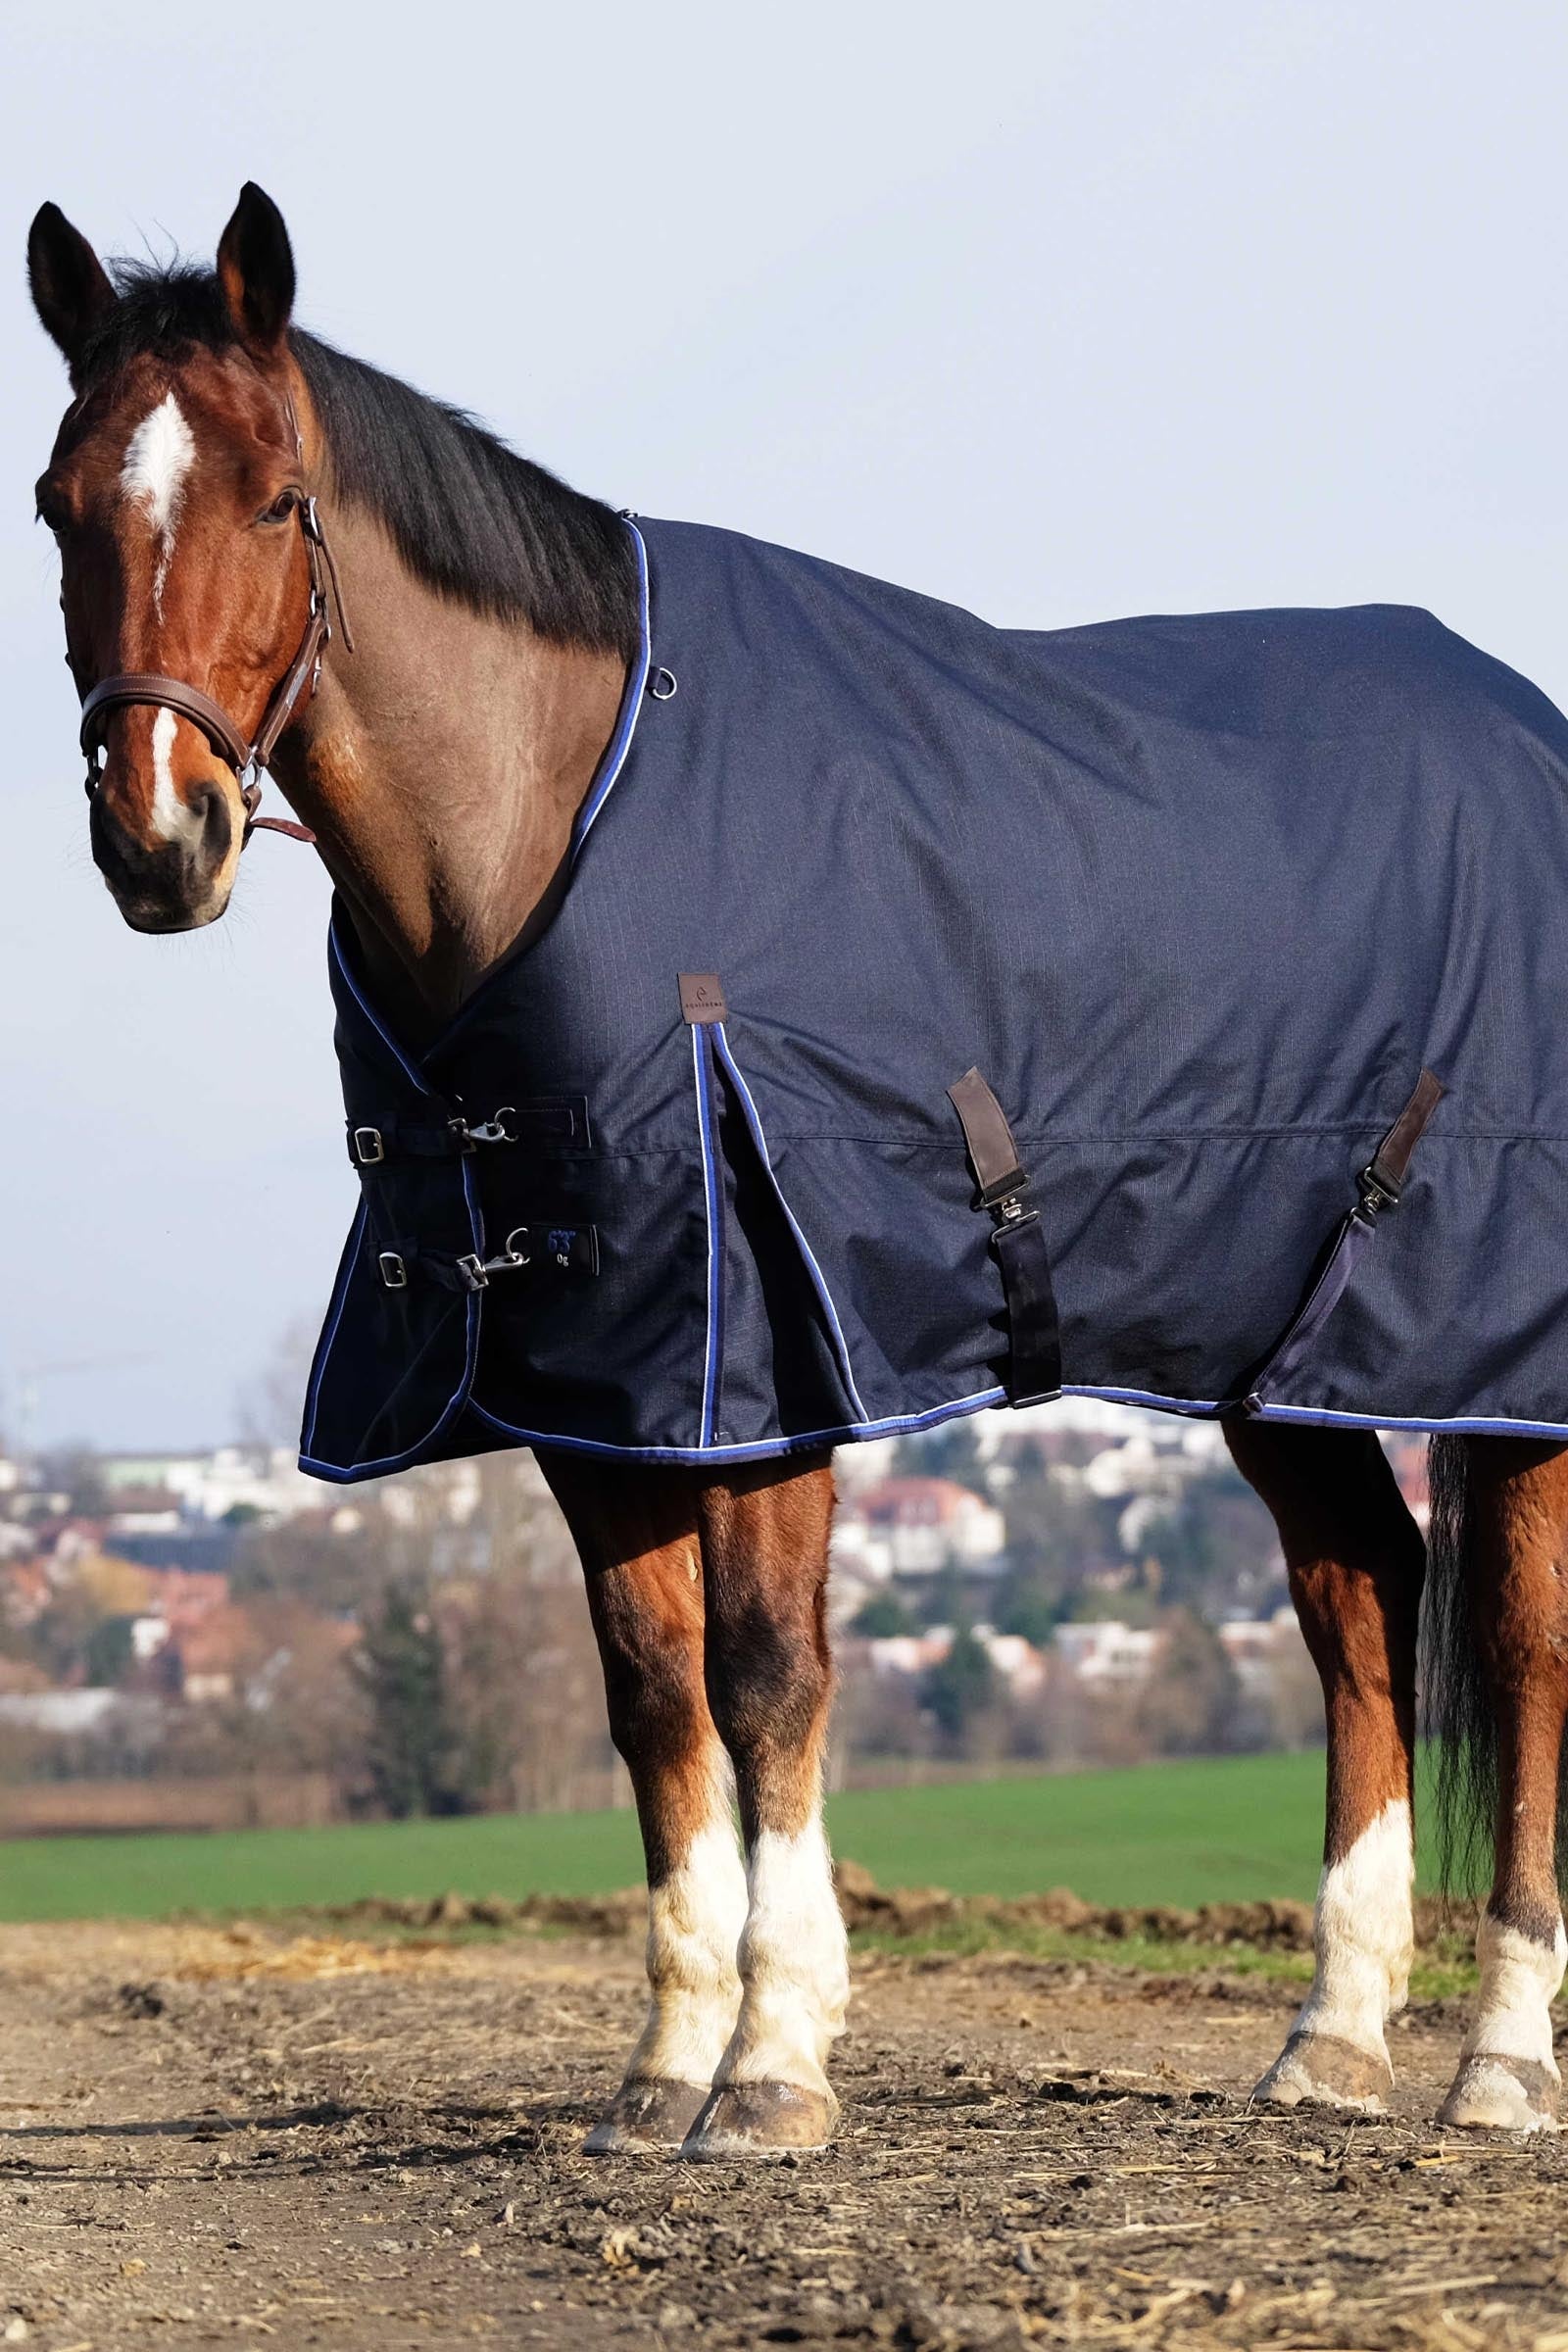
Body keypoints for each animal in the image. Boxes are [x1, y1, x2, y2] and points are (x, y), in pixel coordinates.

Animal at [27, 183, 1568, 2153]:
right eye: (59, 501)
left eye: (279, 496)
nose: (162, 837)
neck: (567, 809)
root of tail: (1530, 729)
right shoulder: (595, 1375)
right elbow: (650, 1693)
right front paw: (664, 2063)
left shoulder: (761, 1347)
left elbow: (766, 1677)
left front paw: (772, 2062)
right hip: (1281, 1352)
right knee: (1361, 1610)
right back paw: (1335, 2040)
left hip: (1489, 1343)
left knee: (1517, 1650)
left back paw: (1501, 2057)